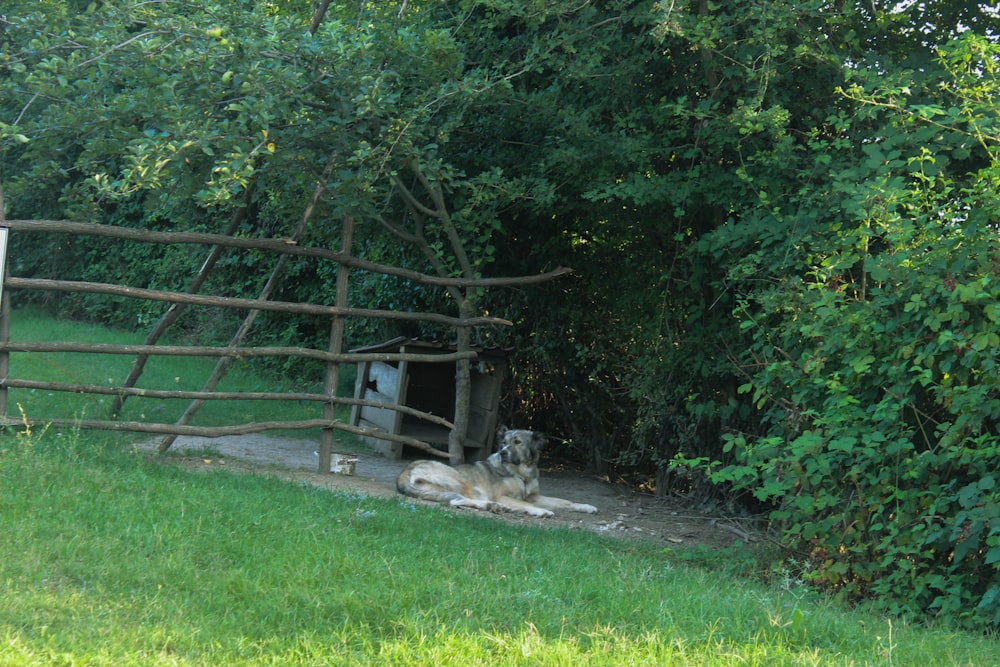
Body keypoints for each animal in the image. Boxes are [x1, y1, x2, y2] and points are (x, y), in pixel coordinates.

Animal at [394, 428, 596, 516]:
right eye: (504, 442)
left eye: (517, 442)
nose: (502, 452)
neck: (521, 474)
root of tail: (403, 474)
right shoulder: (504, 496)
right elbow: (527, 504)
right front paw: (541, 511)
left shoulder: (534, 496)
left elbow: (565, 501)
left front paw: (586, 506)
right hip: (459, 480)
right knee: (460, 499)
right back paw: (495, 506)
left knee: (455, 500)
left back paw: (494, 507)